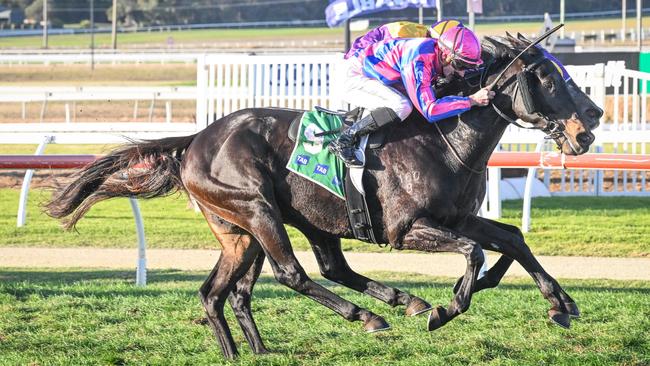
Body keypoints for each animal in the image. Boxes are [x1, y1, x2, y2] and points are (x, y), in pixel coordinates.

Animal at [46, 35, 604, 358]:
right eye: (548, 77)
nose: (591, 122)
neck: (442, 136)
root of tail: (198, 139)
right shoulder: (407, 229)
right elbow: (474, 253)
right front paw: (447, 308)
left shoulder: (456, 216)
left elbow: (509, 238)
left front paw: (559, 304)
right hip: (257, 209)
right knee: (292, 274)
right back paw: (374, 314)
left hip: (245, 232)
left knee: (225, 290)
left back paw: (257, 349)